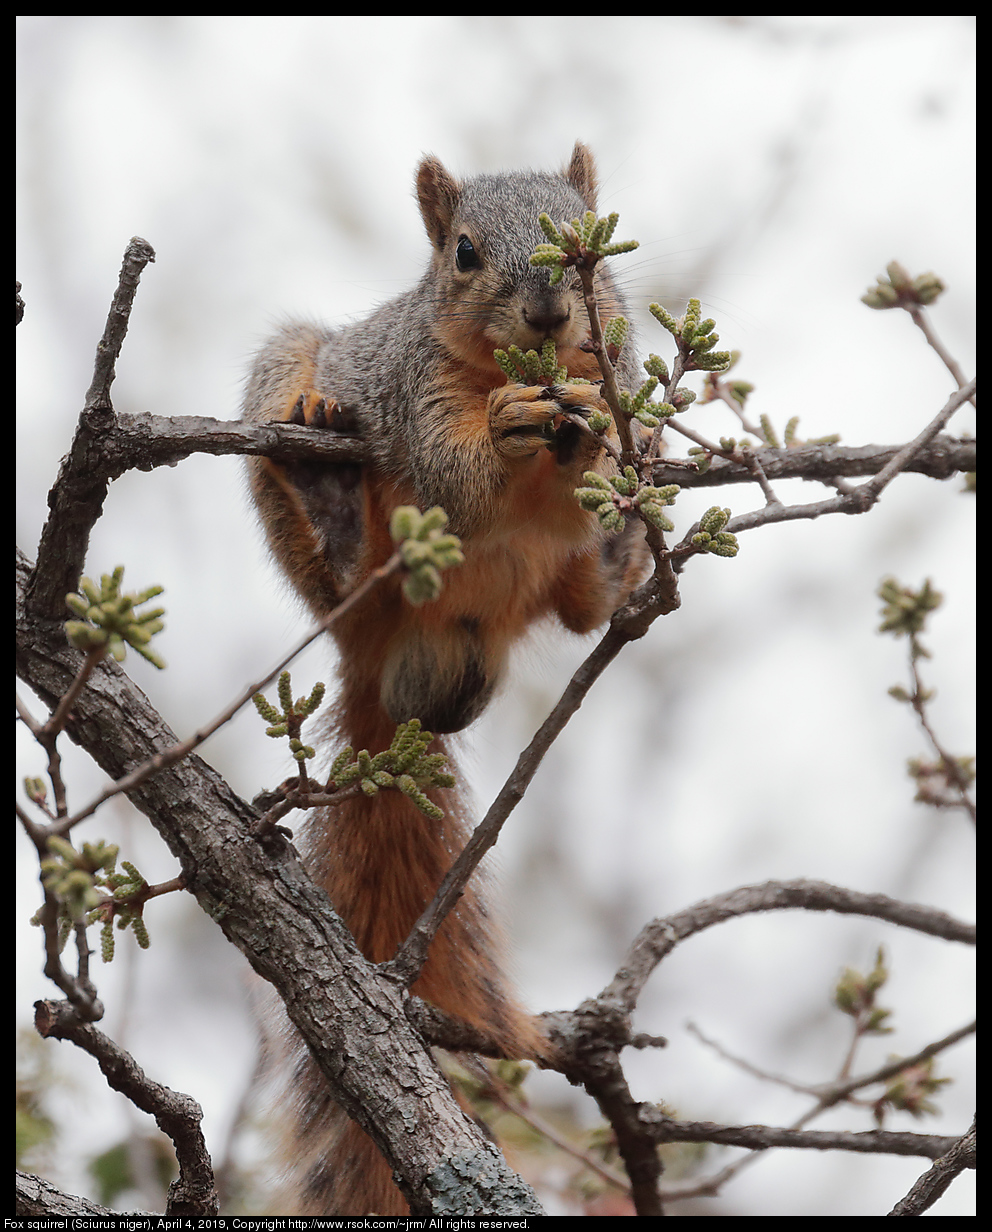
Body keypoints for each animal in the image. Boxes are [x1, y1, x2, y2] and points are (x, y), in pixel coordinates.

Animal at [243, 141, 650, 1212]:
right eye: (464, 253)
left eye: (595, 245)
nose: (549, 311)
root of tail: (389, 665)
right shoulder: (412, 391)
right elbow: (453, 474)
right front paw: (507, 424)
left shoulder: (624, 372)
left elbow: (609, 445)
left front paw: (595, 434)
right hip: (288, 402)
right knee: (334, 545)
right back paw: (331, 504)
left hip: (550, 597)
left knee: (583, 609)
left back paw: (620, 556)